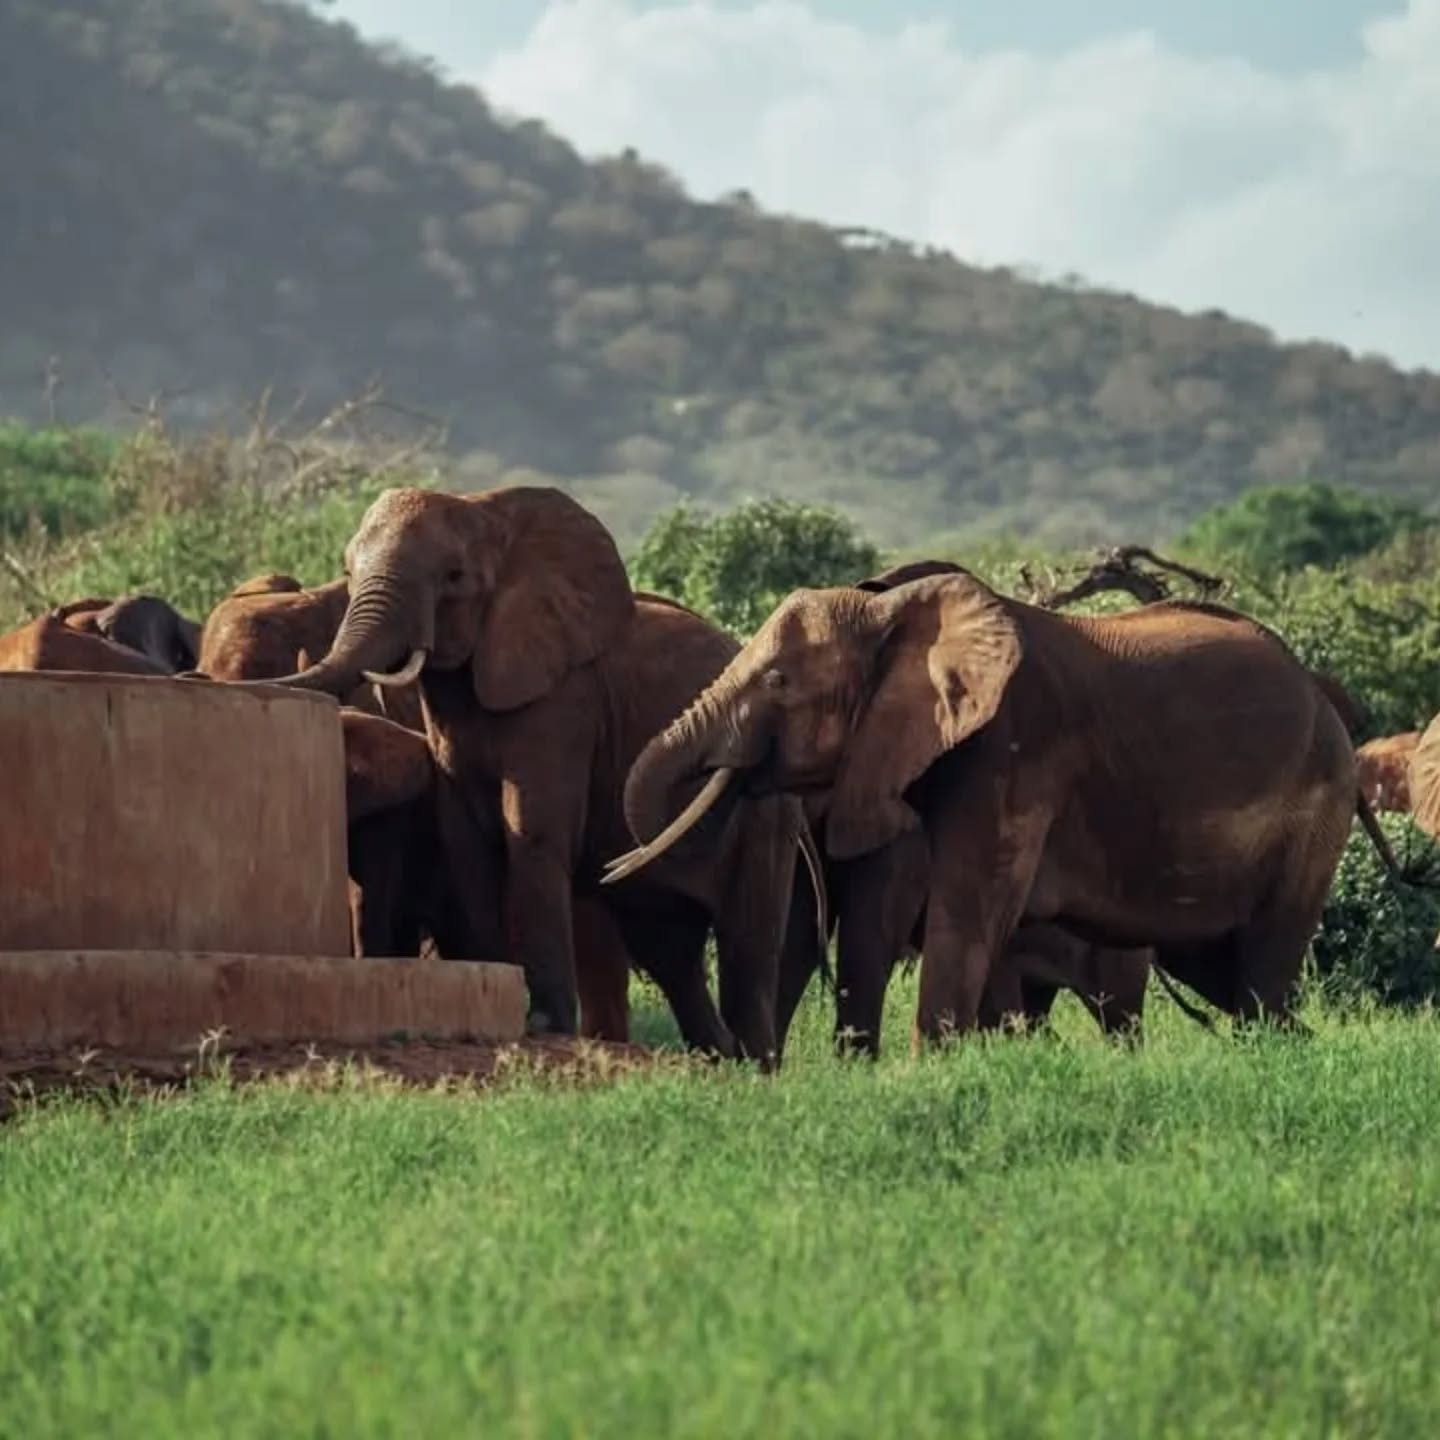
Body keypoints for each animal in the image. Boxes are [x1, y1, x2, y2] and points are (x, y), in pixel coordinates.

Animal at [259, 484, 822, 1067]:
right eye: (347, 571)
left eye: (454, 577)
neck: (492, 513)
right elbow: (467, 841)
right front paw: (490, 982)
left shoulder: (567, 700)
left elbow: (532, 832)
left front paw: (545, 1025)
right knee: (670, 953)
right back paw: (719, 1060)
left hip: (763, 811)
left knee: (746, 946)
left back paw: (756, 1067)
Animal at [610, 568, 1364, 1050]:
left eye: (776, 680)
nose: (617, 865)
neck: (890, 611)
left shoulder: (1014, 752)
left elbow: (961, 907)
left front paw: (926, 1071)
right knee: (1228, 972)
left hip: (1317, 806)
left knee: (1258, 968)